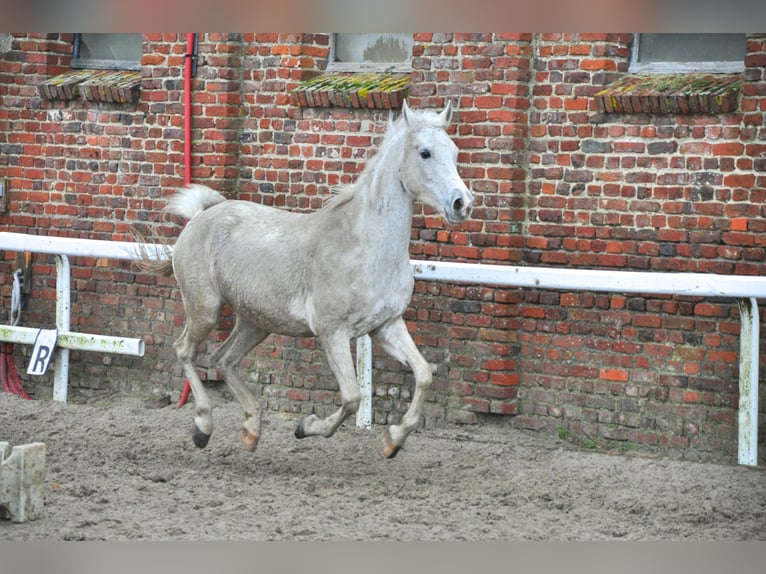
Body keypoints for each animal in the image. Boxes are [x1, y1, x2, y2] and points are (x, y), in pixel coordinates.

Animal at [141, 100, 472, 460]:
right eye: (425, 152)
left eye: (455, 152)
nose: (462, 203)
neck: (364, 246)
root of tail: (202, 215)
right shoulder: (333, 332)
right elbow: (353, 397)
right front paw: (305, 427)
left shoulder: (386, 326)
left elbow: (424, 374)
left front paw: (393, 441)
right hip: (205, 309)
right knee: (185, 350)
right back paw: (203, 427)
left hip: (256, 321)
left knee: (223, 360)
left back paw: (251, 431)